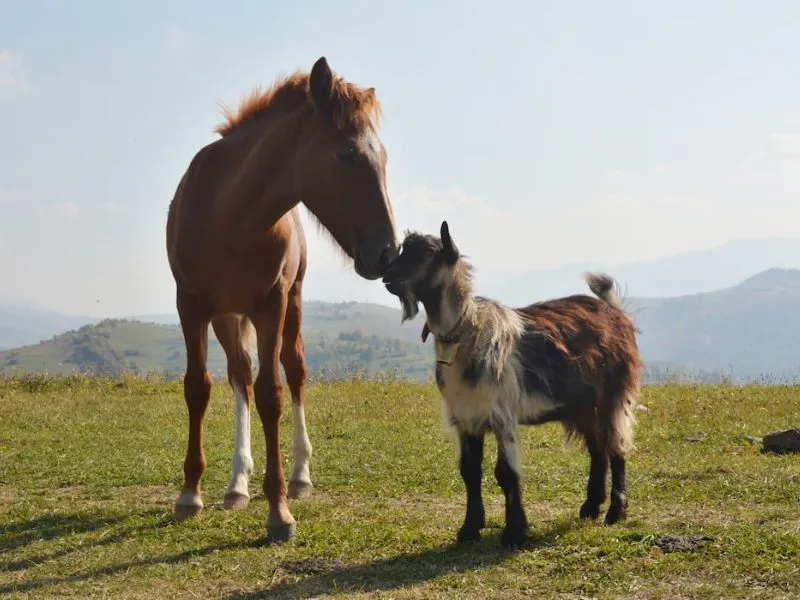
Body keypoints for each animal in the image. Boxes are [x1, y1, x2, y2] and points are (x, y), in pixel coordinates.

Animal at [165, 57, 396, 544]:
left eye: (382, 157)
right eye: (346, 154)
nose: (389, 252)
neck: (228, 215)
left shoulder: (270, 305)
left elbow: (273, 393)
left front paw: (280, 511)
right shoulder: (190, 305)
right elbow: (199, 388)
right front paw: (190, 494)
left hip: (293, 302)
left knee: (294, 371)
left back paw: (300, 477)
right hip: (226, 316)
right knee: (240, 377)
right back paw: (236, 484)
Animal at [382, 220, 644, 548]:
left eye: (429, 253)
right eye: (404, 249)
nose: (387, 277)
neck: (467, 332)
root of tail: (615, 313)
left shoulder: (502, 413)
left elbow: (506, 473)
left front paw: (515, 532)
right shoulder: (465, 416)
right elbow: (469, 470)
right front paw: (469, 528)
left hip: (615, 393)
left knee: (616, 446)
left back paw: (615, 512)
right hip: (582, 404)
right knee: (598, 448)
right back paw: (590, 507)